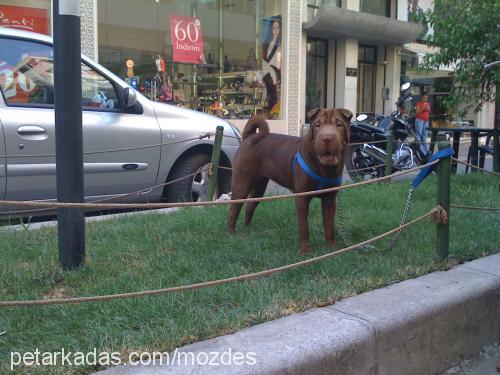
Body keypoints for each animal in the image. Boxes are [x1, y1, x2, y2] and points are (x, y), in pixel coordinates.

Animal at [228, 108, 352, 256]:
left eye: (339, 124)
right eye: (317, 125)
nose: (327, 138)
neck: (324, 169)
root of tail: (249, 137)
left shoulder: (329, 199)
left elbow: (329, 226)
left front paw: (331, 248)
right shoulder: (302, 197)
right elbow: (304, 227)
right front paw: (305, 251)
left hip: (259, 187)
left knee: (250, 206)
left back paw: (249, 231)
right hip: (242, 183)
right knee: (234, 209)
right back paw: (232, 234)